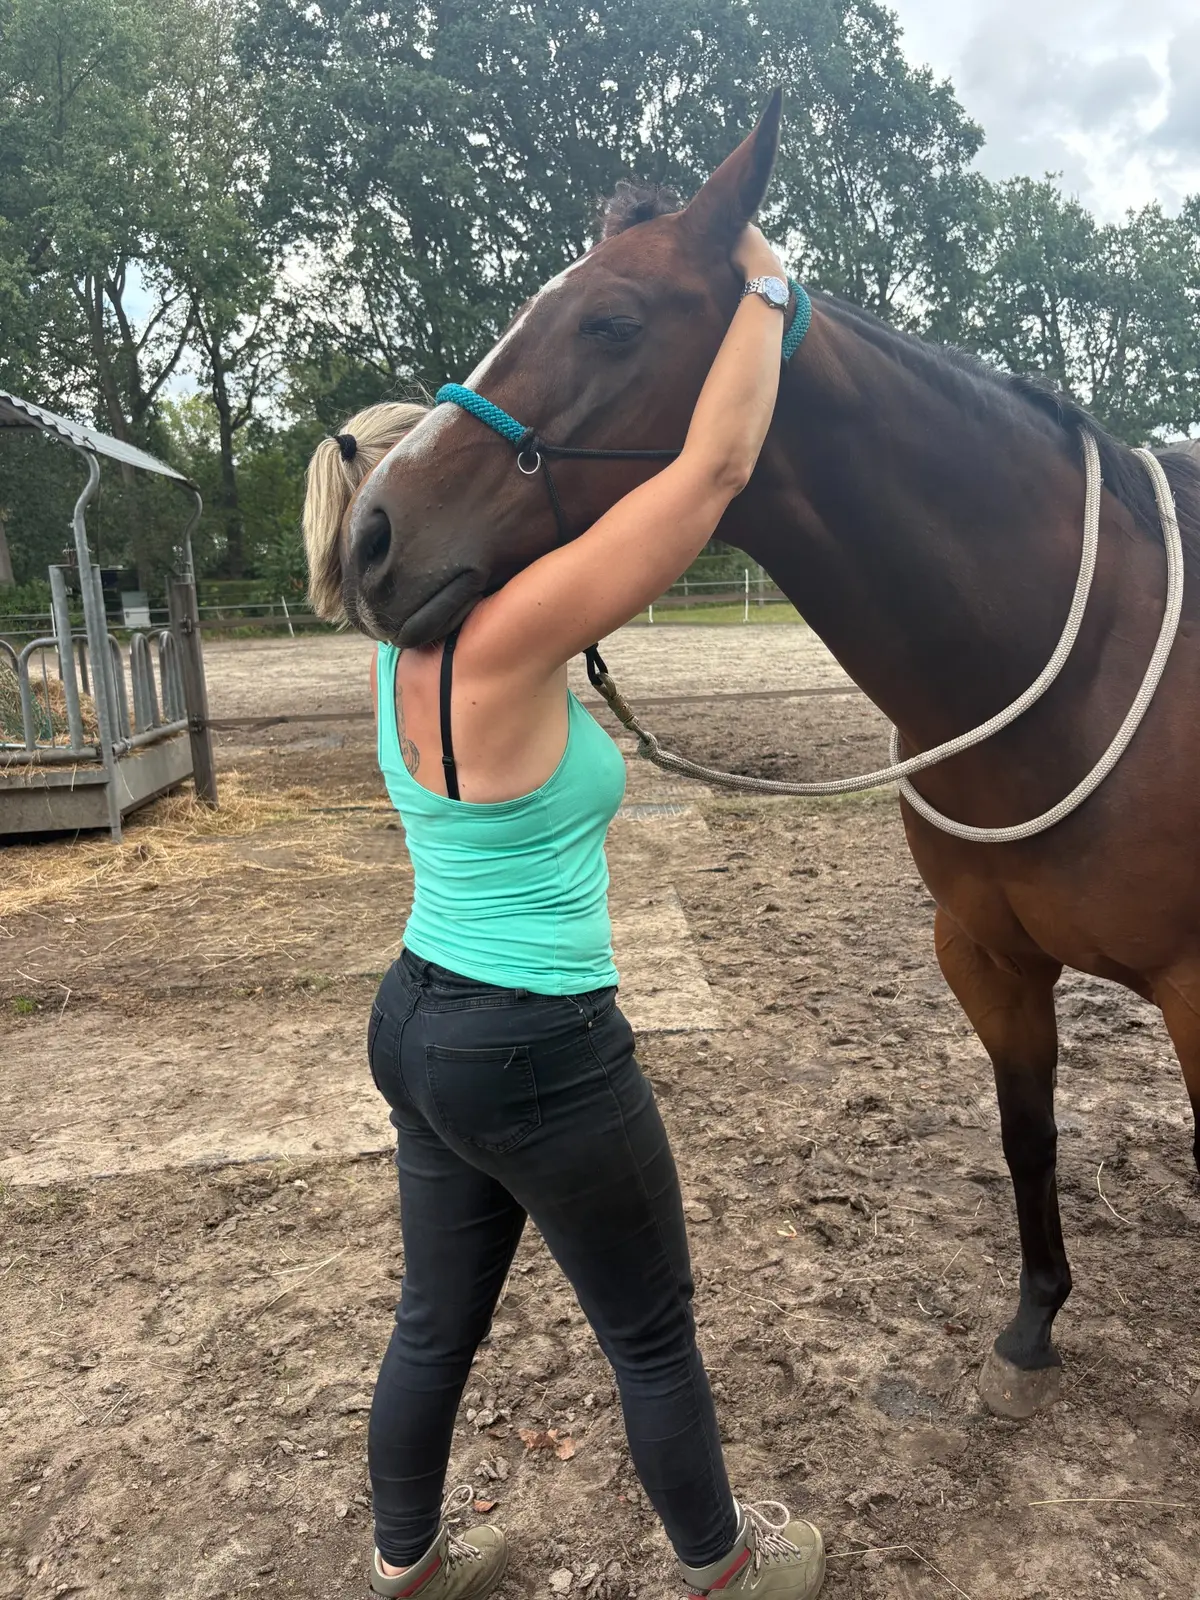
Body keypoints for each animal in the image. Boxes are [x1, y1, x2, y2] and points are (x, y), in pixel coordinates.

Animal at [342, 90, 1200, 1420]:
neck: (1078, 663)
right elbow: (1026, 1132)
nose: (374, 535)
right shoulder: (989, 960)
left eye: (614, 321)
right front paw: (1033, 1323)